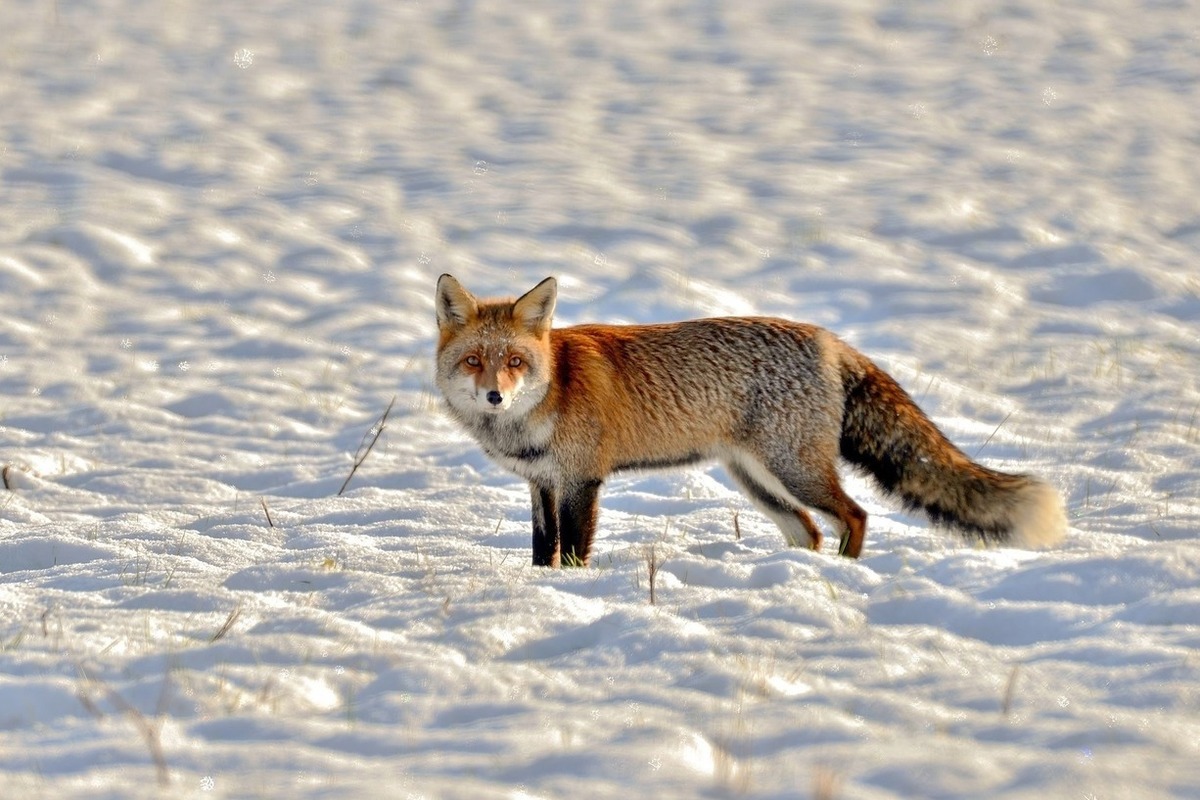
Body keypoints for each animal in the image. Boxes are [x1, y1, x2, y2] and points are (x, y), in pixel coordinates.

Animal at [434, 275, 1070, 568]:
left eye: (516, 362)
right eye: (474, 361)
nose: (494, 396)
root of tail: (829, 340)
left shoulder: (581, 481)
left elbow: (571, 553)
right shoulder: (542, 484)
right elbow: (543, 551)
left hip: (794, 471)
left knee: (855, 516)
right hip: (756, 481)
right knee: (810, 530)